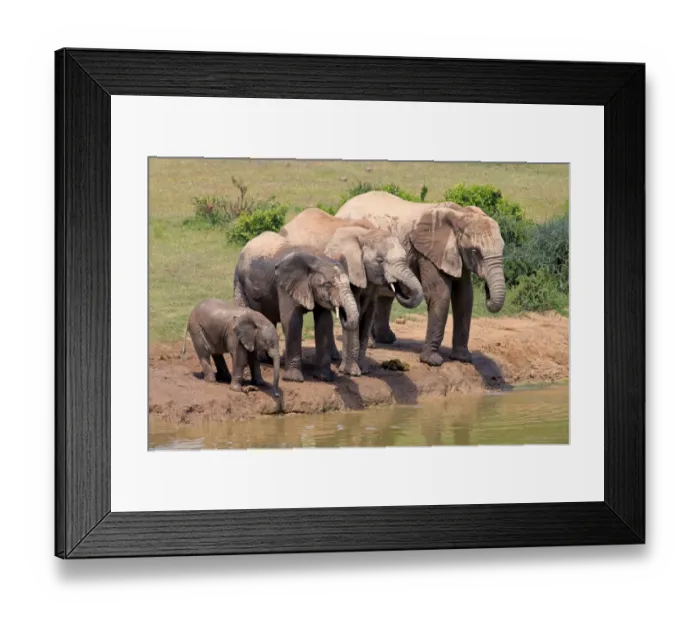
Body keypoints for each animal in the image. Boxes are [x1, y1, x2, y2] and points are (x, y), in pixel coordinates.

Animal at [233, 231, 359, 383]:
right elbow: (292, 322)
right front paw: (294, 379)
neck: (316, 259)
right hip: (239, 281)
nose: (343, 314)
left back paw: (268, 360)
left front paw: (323, 377)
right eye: (328, 285)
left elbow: (324, 323)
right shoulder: (284, 285)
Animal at [281, 208, 424, 375]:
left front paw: (364, 369)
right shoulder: (348, 269)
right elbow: (356, 310)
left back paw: (334, 357)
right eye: (380, 260)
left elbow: (368, 313)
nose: (396, 285)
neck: (368, 234)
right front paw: (352, 372)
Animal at [336, 191, 506, 367]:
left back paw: (387, 339)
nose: (487, 291)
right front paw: (432, 361)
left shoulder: (455, 255)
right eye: (475, 251)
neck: (459, 214)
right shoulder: (428, 253)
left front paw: (463, 358)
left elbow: (465, 296)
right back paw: (372, 344)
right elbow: (440, 294)